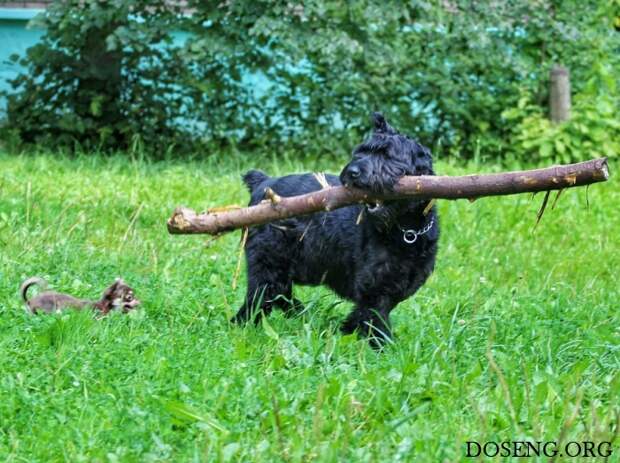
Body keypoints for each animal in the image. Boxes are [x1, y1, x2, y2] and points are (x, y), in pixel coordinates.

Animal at [232, 113, 440, 348]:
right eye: (360, 152)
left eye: (388, 155)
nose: (353, 172)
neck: (406, 229)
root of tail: (262, 182)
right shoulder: (374, 288)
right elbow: (375, 318)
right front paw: (380, 347)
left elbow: (367, 314)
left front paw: (348, 330)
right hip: (268, 263)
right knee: (260, 298)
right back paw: (246, 327)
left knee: (280, 294)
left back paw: (302, 315)